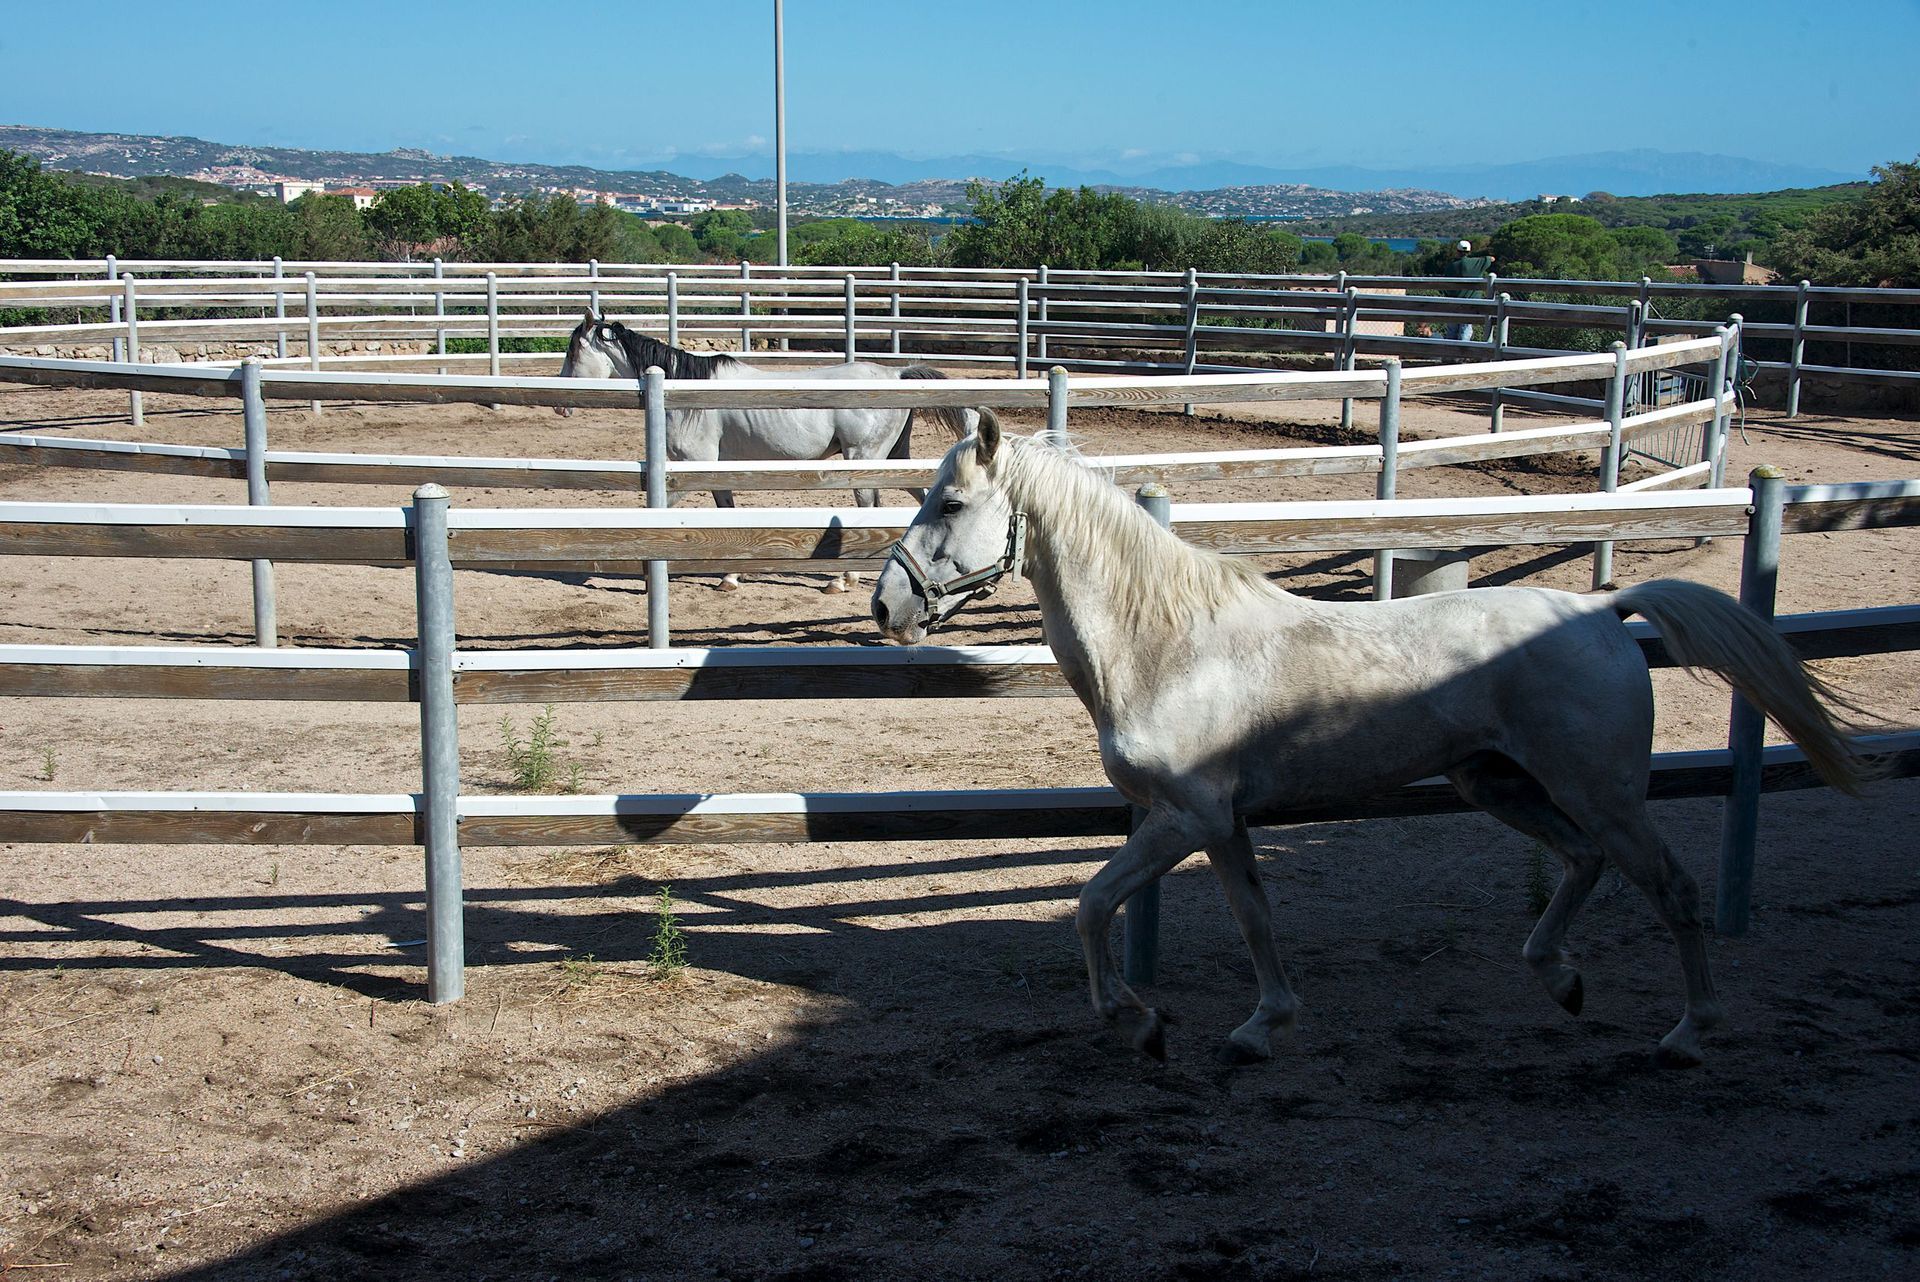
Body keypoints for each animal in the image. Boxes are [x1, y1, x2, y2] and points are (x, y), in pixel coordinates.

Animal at [558, 308, 958, 592]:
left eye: (574, 348)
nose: (562, 406)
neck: (683, 390)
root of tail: (896, 375)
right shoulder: (715, 470)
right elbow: (725, 512)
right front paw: (731, 577)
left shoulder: (691, 467)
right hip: (892, 459)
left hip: (863, 460)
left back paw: (843, 579)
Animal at [870, 411, 1869, 1068]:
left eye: (950, 503)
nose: (887, 607)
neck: (1165, 646)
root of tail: (1601, 610)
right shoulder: (1218, 823)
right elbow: (1250, 916)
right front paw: (1260, 1023)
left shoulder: (1188, 816)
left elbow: (1090, 903)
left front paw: (1139, 1019)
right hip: (1494, 782)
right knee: (1582, 864)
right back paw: (1560, 980)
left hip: (1603, 792)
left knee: (1672, 887)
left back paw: (1690, 1030)